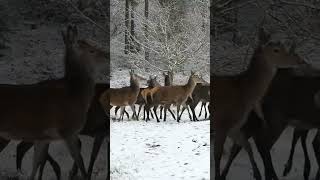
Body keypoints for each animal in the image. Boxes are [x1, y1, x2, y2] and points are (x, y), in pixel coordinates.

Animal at [0, 24, 106, 180]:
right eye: (92, 49)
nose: (107, 55)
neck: (75, 94)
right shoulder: (68, 131)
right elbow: (80, 162)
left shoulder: (43, 137)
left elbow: (37, 163)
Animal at [211, 27, 306, 180]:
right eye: (276, 50)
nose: (300, 60)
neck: (243, 93)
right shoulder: (221, 123)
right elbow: (218, 155)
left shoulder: (235, 126)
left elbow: (247, 145)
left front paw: (257, 174)